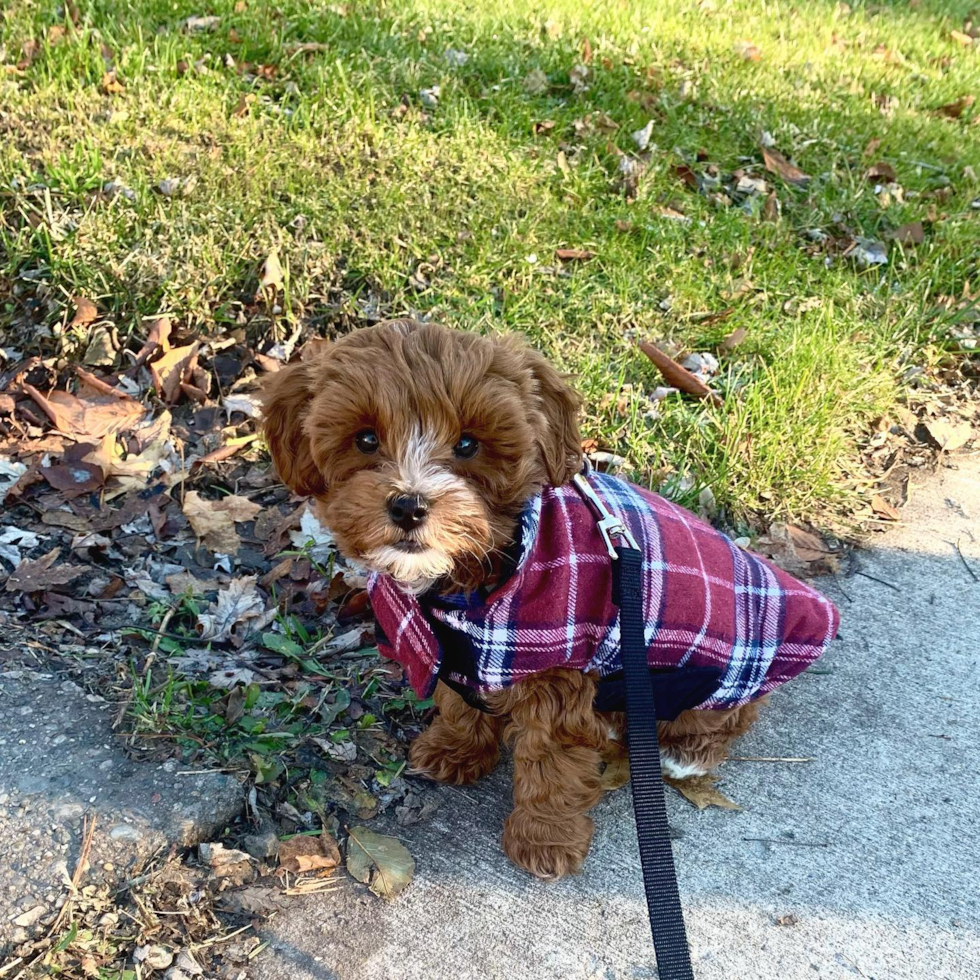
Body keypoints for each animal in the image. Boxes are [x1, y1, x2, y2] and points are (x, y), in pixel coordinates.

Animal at [262, 320, 844, 880]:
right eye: (365, 439)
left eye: (468, 445)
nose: (409, 505)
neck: (488, 569)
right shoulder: (463, 648)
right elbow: (461, 699)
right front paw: (458, 747)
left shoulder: (561, 674)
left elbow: (554, 760)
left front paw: (546, 838)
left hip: (705, 669)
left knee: (724, 716)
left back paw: (684, 754)